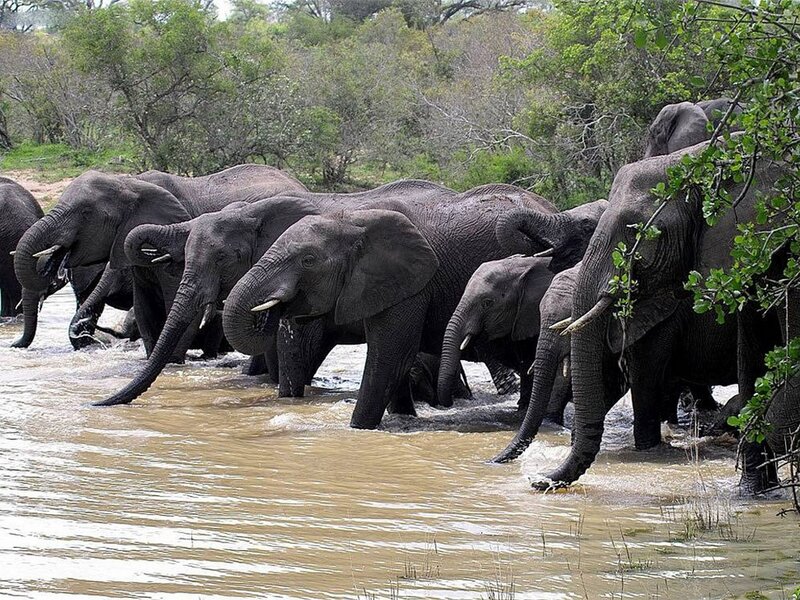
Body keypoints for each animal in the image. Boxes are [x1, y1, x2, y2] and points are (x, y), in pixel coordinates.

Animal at [223, 184, 608, 429]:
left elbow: (390, 354)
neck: (352, 216)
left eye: (307, 260)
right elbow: (394, 358)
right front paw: (403, 418)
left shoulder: (414, 284)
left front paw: (357, 430)